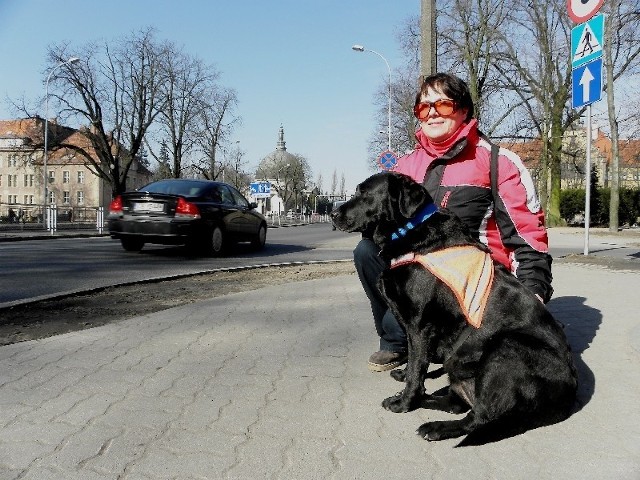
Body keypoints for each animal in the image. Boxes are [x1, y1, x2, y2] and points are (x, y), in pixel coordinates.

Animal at [332, 172, 576, 446]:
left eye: (363, 193)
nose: (332, 213)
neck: (412, 231)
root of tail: (570, 391)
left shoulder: (419, 326)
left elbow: (416, 370)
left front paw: (404, 403)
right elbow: (415, 363)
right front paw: (404, 378)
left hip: (507, 350)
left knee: (478, 418)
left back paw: (434, 426)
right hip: (460, 367)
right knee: (456, 403)